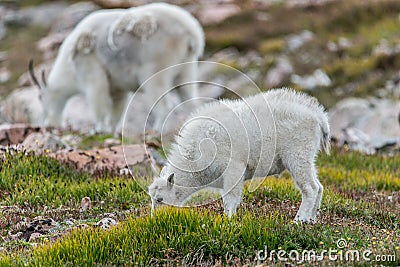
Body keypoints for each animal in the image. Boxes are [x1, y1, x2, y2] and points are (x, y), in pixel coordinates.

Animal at [28, 2, 203, 134]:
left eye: (40, 97)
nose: (49, 124)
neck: (70, 68)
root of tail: (191, 33)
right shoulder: (118, 88)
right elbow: (116, 110)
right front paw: (111, 131)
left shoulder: (92, 75)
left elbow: (98, 105)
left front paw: (98, 130)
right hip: (186, 69)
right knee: (190, 101)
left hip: (156, 71)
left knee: (164, 105)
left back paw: (155, 131)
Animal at [148, 89, 330, 223]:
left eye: (159, 199)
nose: (156, 219)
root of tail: (318, 116)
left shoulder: (233, 168)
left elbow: (231, 199)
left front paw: (228, 220)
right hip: (307, 156)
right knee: (319, 186)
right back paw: (311, 220)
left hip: (298, 154)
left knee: (310, 188)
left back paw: (299, 220)